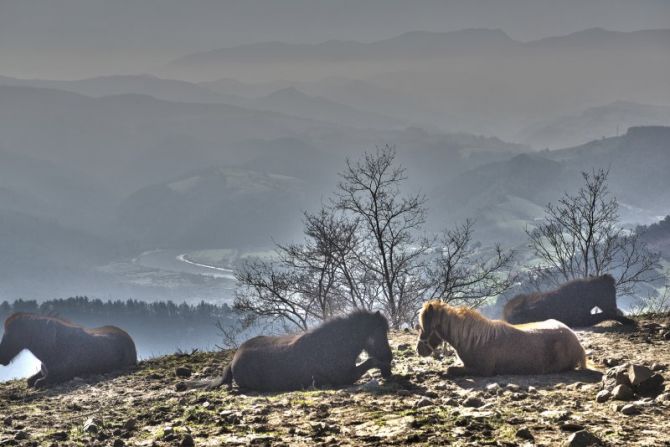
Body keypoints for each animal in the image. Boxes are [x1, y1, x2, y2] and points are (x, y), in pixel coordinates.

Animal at [0, 312, 138, 388]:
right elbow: (29, 381)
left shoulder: (55, 376)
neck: (55, 348)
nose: (2, 358)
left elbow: (37, 383)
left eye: (9, 335)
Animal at [211, 312, 394, 392]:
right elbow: (371, 361)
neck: (333, 344)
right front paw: (386, 371)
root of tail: (234, 359)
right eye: (378, 333)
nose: (389, 356)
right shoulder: (345, 377)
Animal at [420, 300, 588, 378]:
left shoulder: (481, 370)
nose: (419, 350)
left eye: (425, 327)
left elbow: (450, 369)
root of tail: (576, 341)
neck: (475, 339)